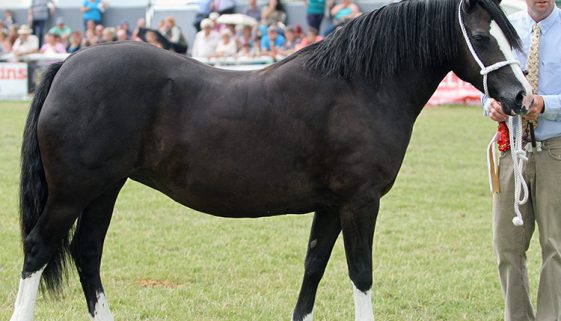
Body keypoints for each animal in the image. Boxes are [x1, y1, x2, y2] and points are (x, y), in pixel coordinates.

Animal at [12, 0, 528, 318]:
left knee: (87, 253)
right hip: (72, 193)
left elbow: (314, 266)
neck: (359, 87)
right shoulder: (360, 203)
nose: (521, 97)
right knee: (38, 249)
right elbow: (360, 273)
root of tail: (68, 63)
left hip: (104, 190)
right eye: (482, 37)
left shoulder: (331, 206)